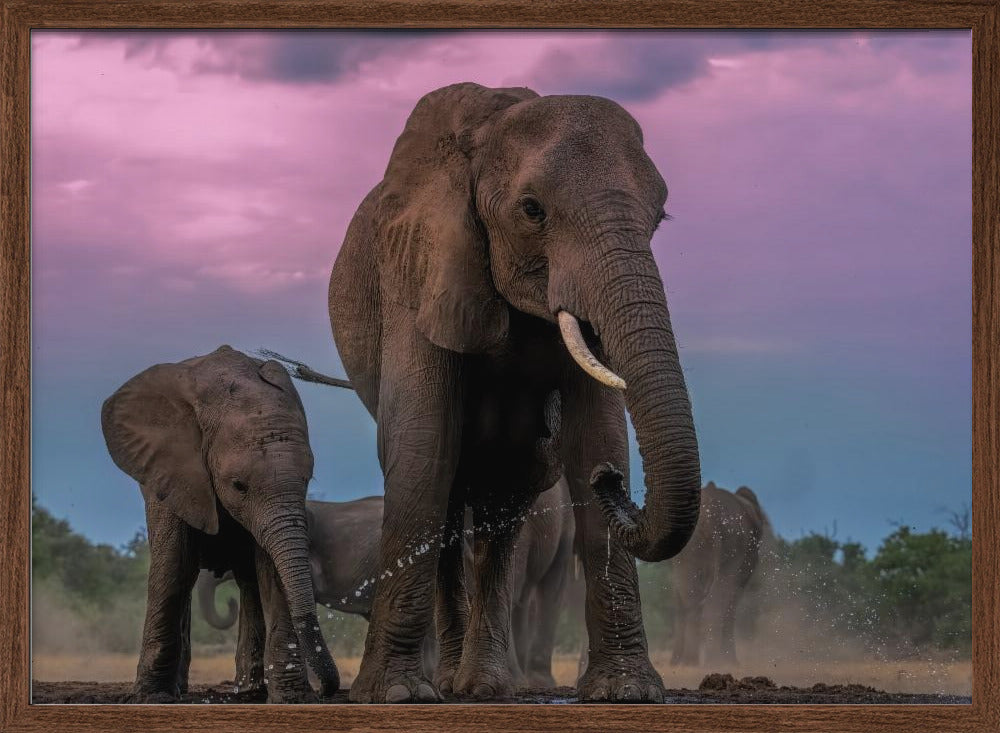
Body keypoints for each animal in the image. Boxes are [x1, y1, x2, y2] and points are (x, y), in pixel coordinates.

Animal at [101, 345, 340, 703]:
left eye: (307, 479)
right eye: (239, 485)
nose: (326, 689)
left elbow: (271, 572)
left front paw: (293, 699)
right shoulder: (172, 471)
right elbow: (174, 566)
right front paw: (153, 698)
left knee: (249, 582)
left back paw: (250, 691)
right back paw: (182, 690)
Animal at [327, 82, 702, 703]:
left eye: (660, 216)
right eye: (532, 210)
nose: (610, 483)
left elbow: (598, 433)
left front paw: (627, 691)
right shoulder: (417, 267)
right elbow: (423, 445)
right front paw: (395, 695)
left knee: (505, 506)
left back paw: (483, 686)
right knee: (450, 493)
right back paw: (448, 684)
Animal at [669, 482, 773, 667]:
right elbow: (732, 599)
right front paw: (731, 662)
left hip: (689, 548)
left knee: (689, 596)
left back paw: (688, 662)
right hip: (731, 544)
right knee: (718, 597)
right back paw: (714, 662)